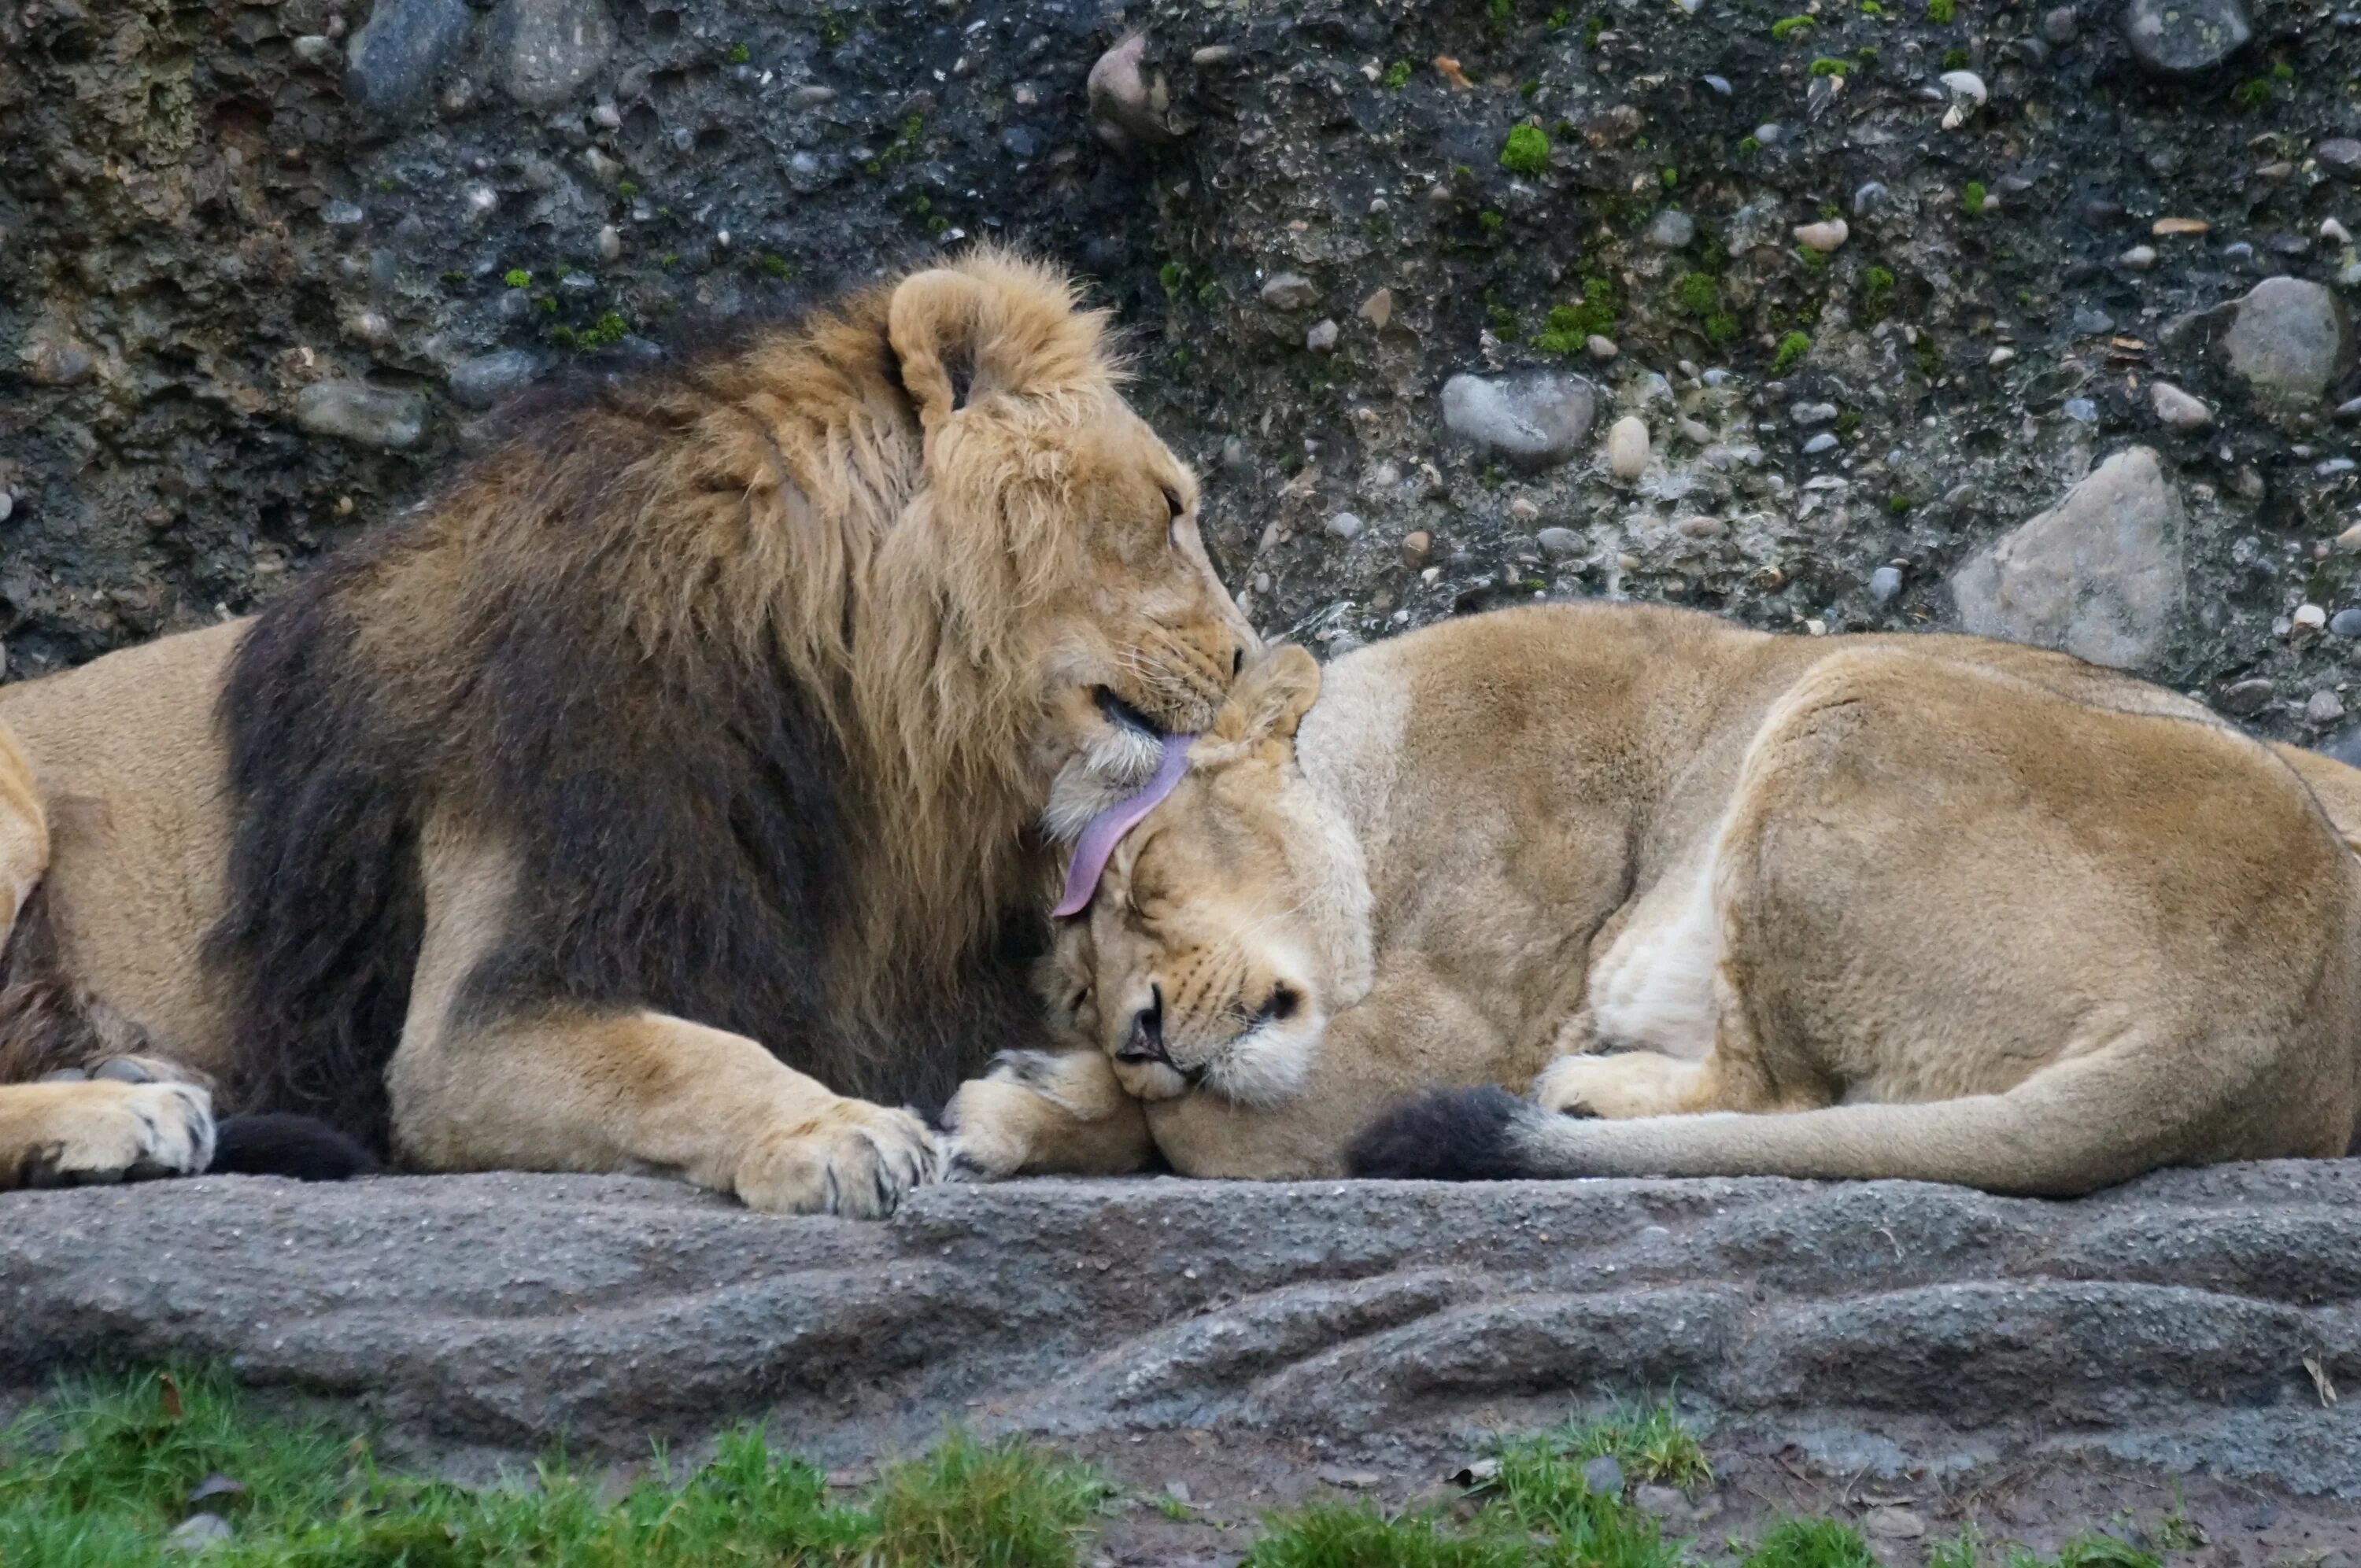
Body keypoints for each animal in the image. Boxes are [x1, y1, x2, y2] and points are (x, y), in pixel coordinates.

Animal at [0, 253, 1256, 1208]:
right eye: (1170, 509)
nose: (1250, 659)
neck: (880, 734)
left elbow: (1144, 1098)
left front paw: (1035, 1096)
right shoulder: (482, 1016)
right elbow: (681, 1056)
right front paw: (834, 1131)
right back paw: (128, 1110)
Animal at [949, 604, 2361, 1194]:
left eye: (1145, 875)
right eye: (1078, 982)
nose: (1136, 1029)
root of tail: (2265, 1003)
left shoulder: (1462, 1020)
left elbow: (1204, 1131)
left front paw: (1041, 1103)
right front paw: (1030, 1100)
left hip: (1843, 701)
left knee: (1780, 1099)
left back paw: (1581, 1094)